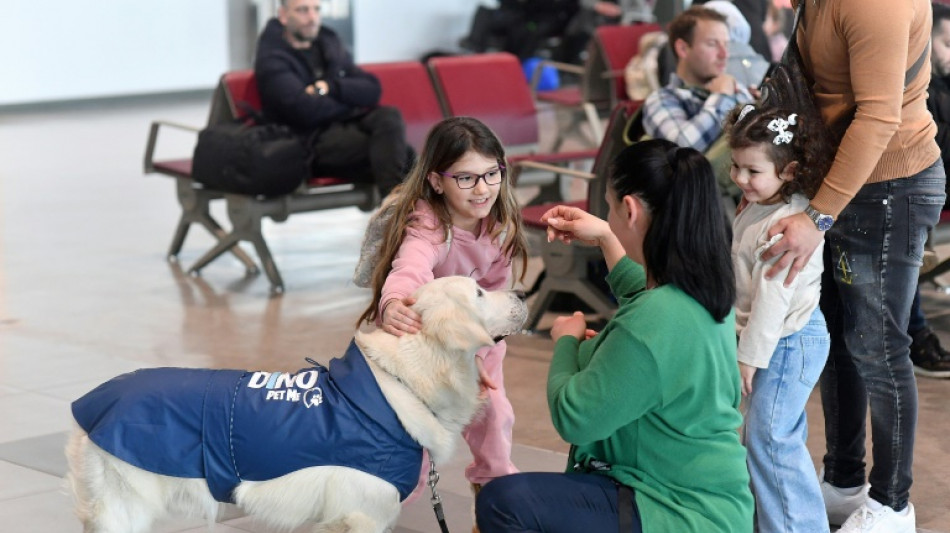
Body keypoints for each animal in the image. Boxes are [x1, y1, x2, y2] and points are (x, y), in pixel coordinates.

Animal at [67, 276, 528, 528]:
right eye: (479, 292)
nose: (524, 293)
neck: (401, 380)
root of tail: (92, 401)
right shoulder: (363, 513)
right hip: (122, 508)